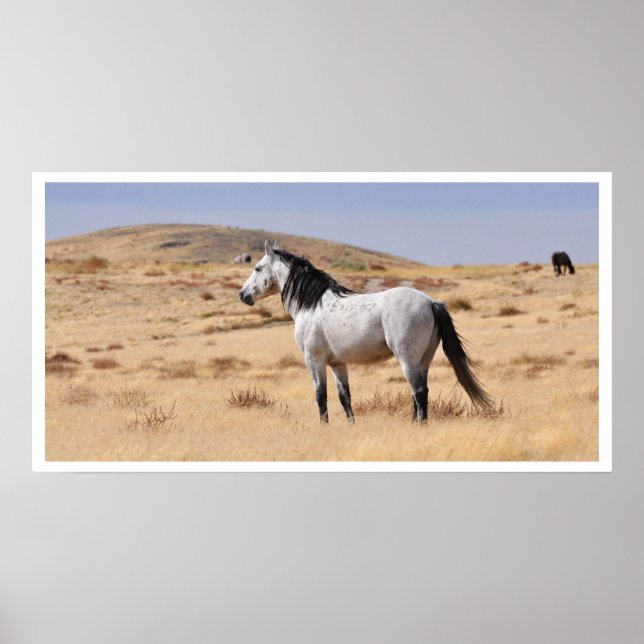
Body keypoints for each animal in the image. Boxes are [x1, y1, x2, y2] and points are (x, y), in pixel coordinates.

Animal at [239, 242, 492, 424]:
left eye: (257, 268)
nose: (243, 295)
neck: (311, 304)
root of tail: (431, 302)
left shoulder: (314, 360)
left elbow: (321, 396)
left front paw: (324, 427)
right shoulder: (337, 364)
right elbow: (345, 397)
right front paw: (351, 426)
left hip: (407, 360)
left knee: (419, 392)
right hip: (423, 361)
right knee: (419, 393)